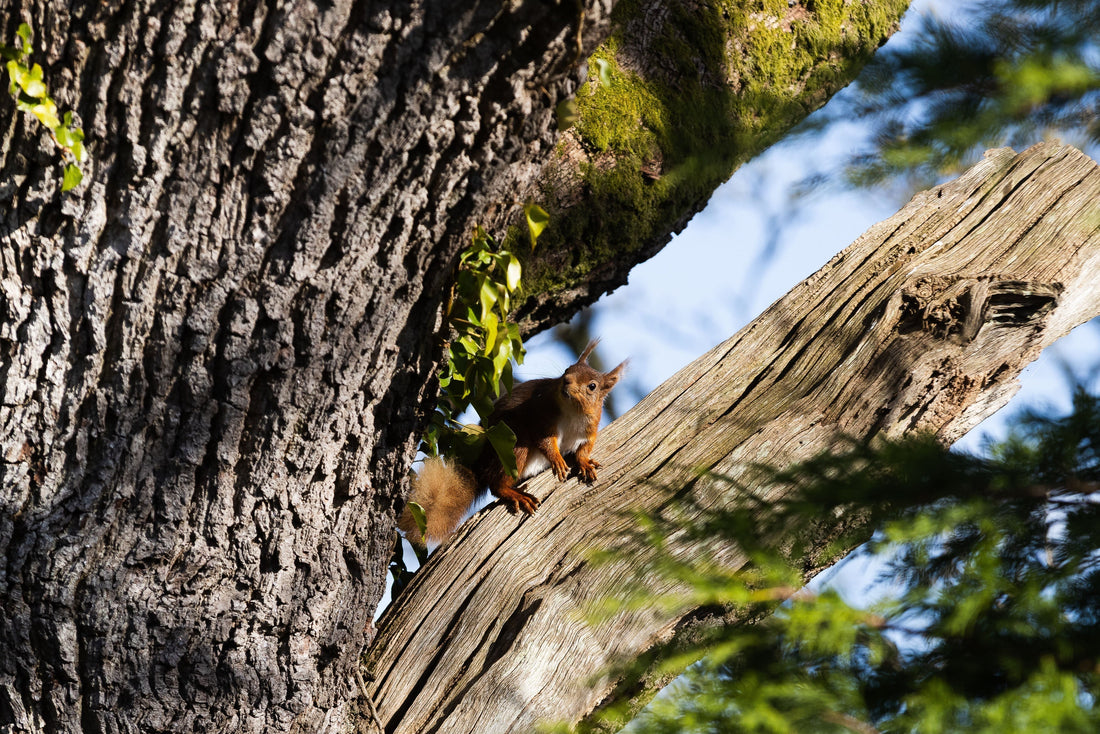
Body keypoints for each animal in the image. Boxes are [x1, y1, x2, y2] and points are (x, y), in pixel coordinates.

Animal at [399, 339, 626, 547]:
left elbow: (585, 447)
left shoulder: (590, 428)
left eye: (592, 386)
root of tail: (481, 468)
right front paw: (557, 459)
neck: (573, 411)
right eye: (567, 370)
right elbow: (544, 440)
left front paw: (584, 462)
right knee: (495, 485)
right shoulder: (542, 414)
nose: (566, 381)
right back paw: (515, 494)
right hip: (513, 448)